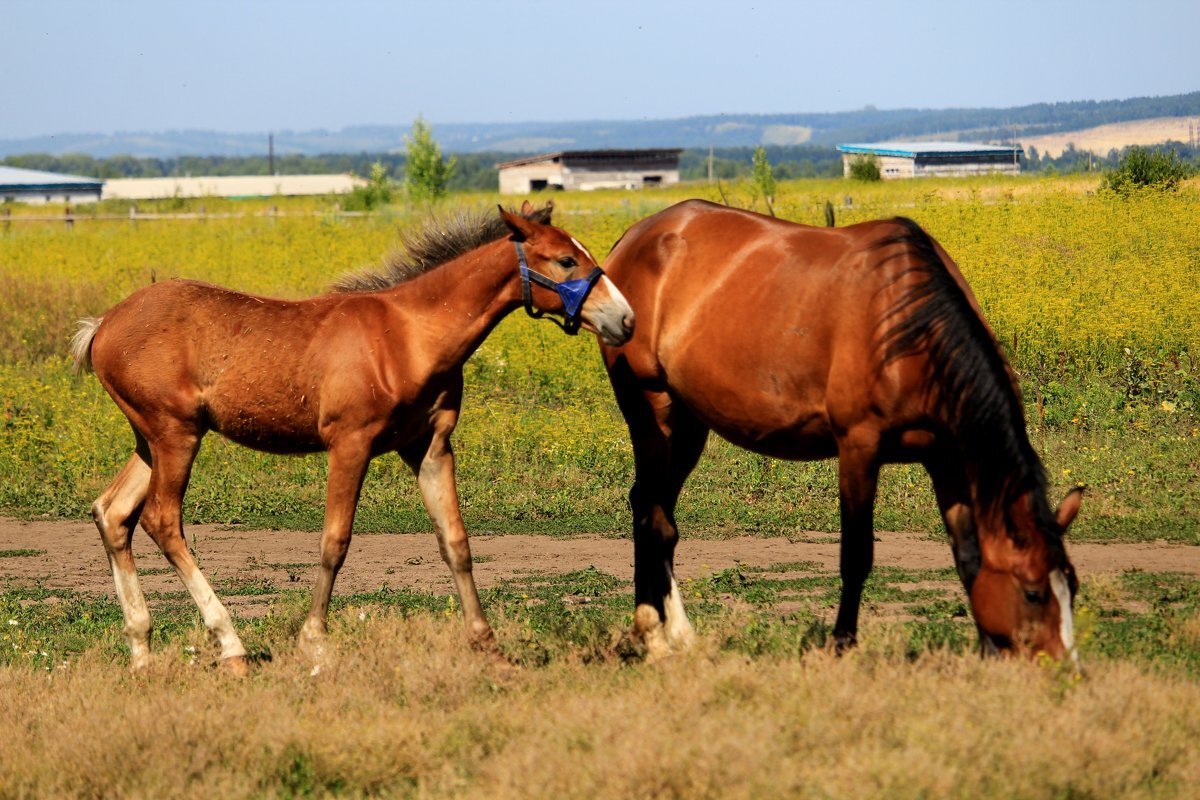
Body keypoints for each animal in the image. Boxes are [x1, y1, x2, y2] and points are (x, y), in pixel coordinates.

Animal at [72, 203, 638, 671]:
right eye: (565, 260)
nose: (626, 319)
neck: (408, 335)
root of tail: (102, 325)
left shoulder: (430, 446)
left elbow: (455, 541)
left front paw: (488, 646)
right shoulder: (351, 443)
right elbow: (335, 541)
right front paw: (315, 642)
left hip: (151, 438)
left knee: (113, 511)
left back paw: (141, 650)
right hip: (176, 433)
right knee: (161, 519)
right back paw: (230, 645)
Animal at [604, 200, 1084, 662]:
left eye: (1073, 587)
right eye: (1033, 593)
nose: (1064, 666)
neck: (909, 327)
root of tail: (633, 238)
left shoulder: (947, 457)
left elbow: (968, 555)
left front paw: (987, 650)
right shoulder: (859, 447)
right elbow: (857, 555)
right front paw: (842, 643)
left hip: (688, 426)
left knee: (658, 513)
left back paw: (677, 633)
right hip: (654, 413)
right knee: (650, 514)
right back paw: (655, 635)